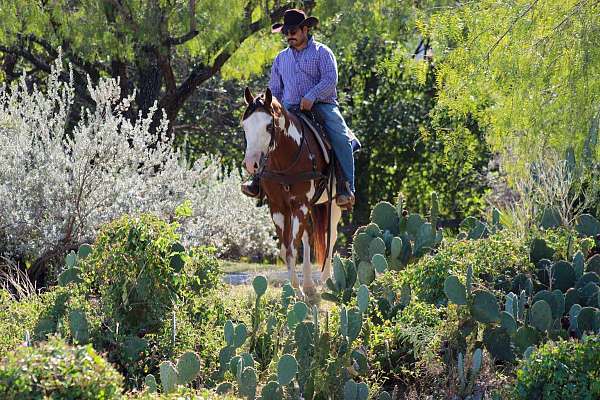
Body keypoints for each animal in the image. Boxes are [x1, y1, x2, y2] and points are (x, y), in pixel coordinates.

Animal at [240, 87, 342, 300]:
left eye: (269, 126)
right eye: (245, 126)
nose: (251, 164)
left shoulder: (300, 204)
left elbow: (293, 249)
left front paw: (297, 291)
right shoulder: (278, 207)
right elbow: (287, 249)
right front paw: (294, 289)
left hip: (333, 204)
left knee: (331, 236)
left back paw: (325, 281)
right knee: (308, 237)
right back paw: (310, 285)